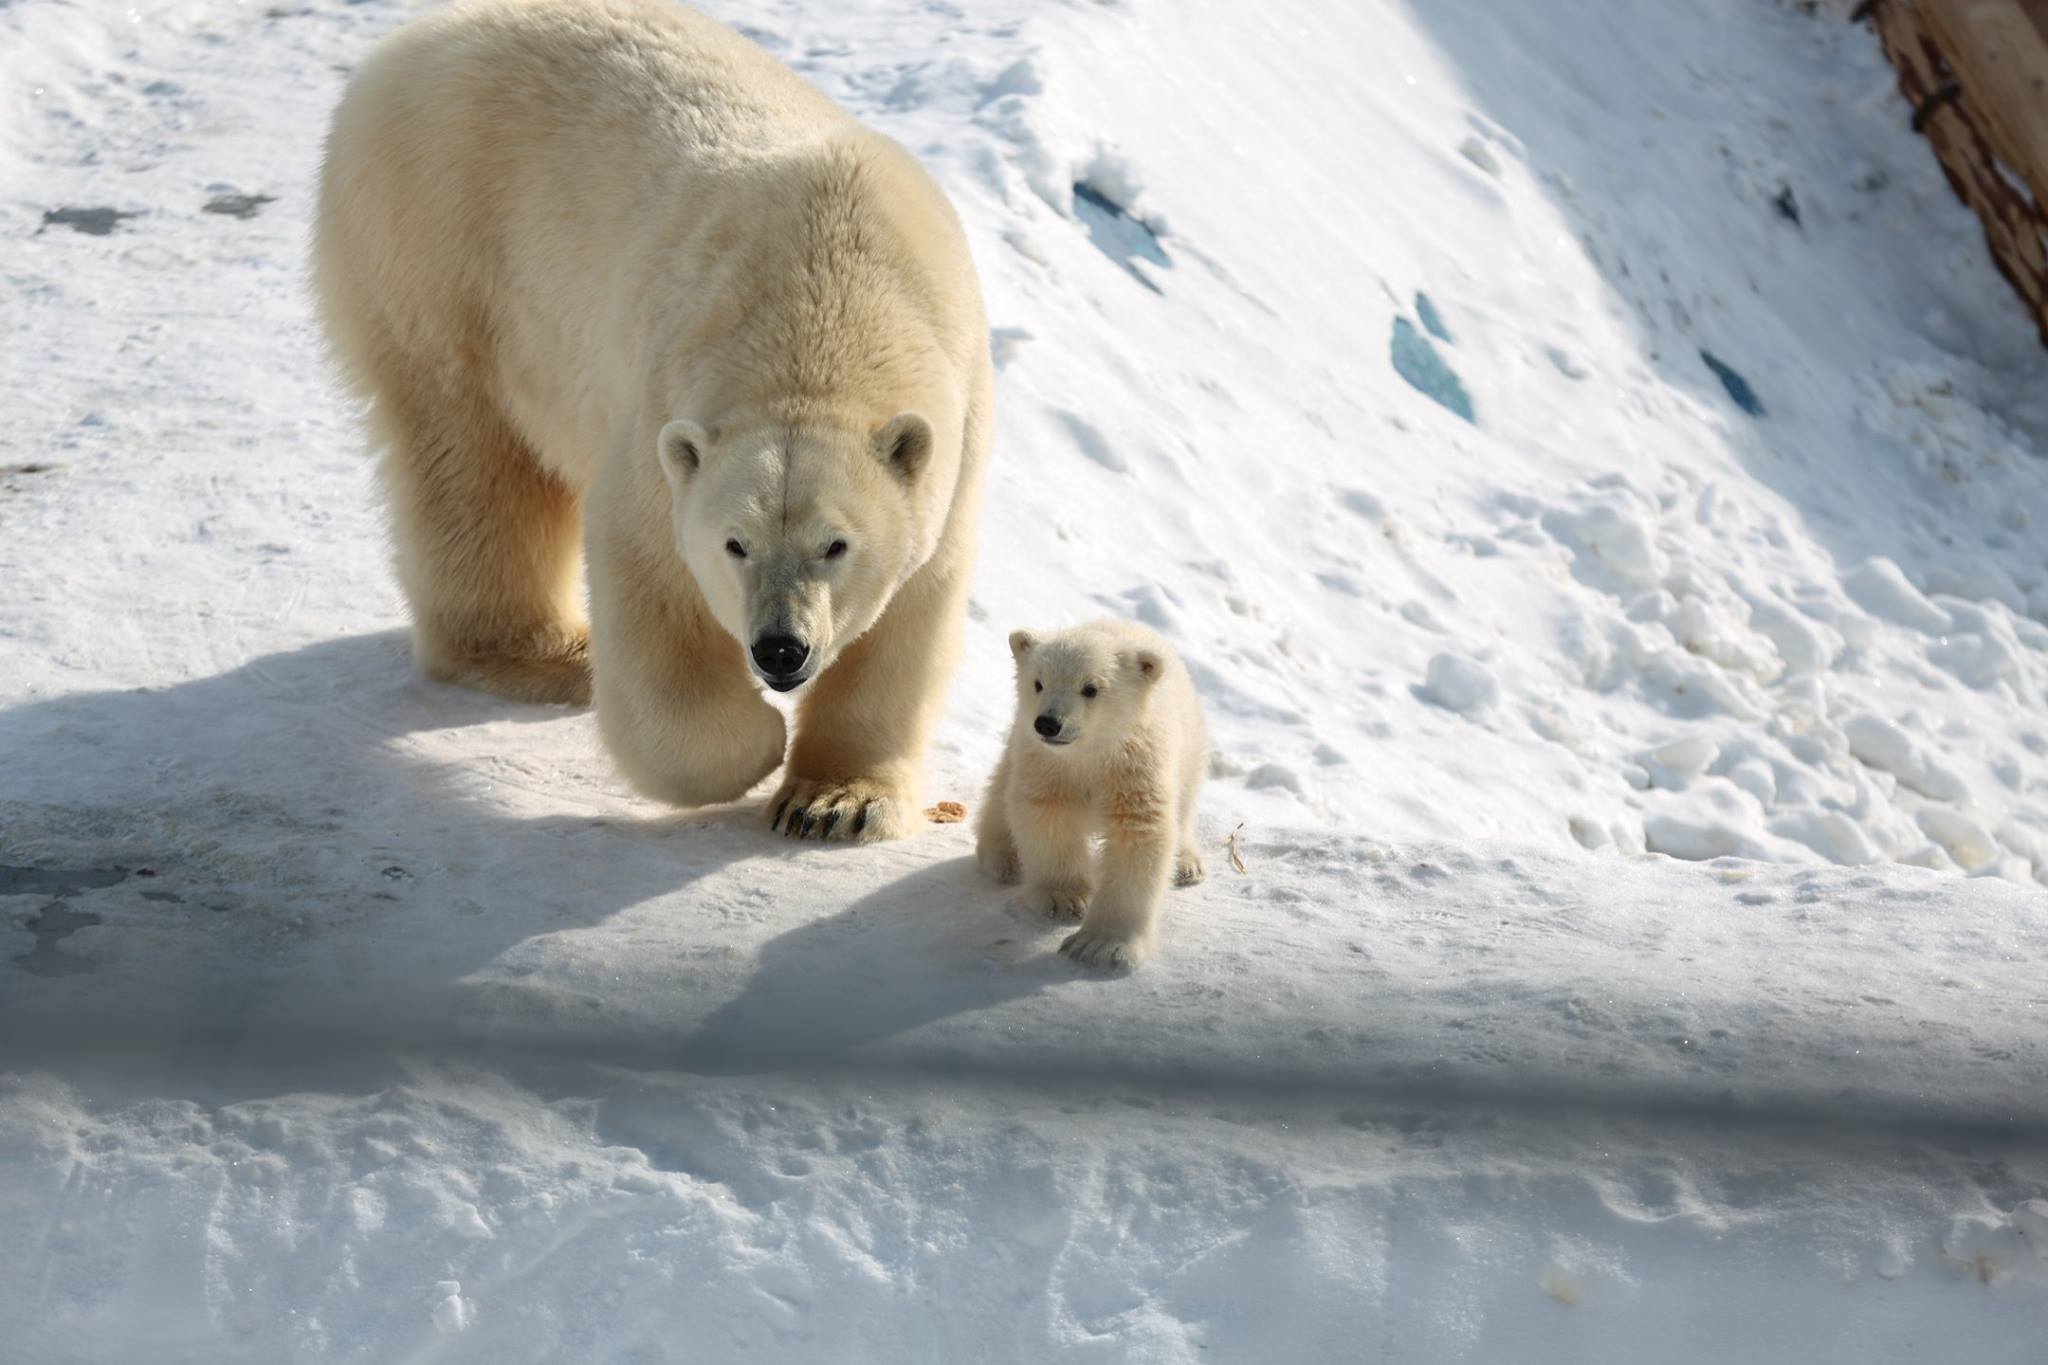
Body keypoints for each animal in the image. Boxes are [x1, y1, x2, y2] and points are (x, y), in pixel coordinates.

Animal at [311, 0, 991, 843]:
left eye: (836, 544)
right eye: (735, 542)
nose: (780, 649)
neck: (826, 292)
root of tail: (405, 45)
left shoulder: (952, 440)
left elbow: (911, 614)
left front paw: (835, 802)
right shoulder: (664, 414)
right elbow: (652, 586)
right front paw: (759, 741)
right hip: (442, 251)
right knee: (472, 460)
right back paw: (553, 652)